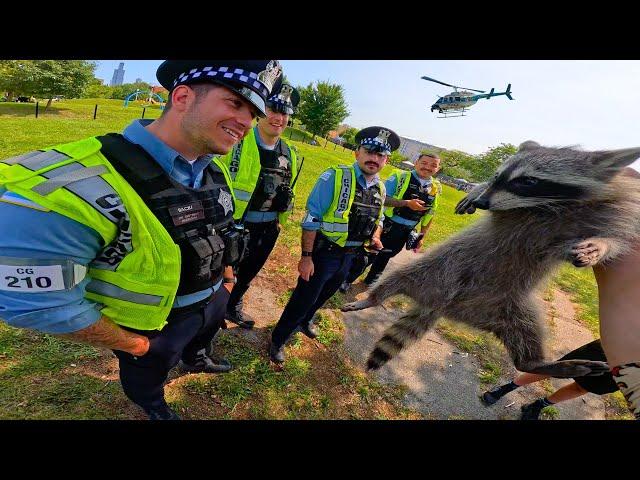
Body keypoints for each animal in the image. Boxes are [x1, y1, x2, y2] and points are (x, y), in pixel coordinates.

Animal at [342, 141, 640, 376]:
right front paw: (476, 190)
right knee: (398, 276)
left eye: (527, 180)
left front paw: (601, 245)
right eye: (497, 175)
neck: (548, 206)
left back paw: (534, 363)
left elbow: (617, 240)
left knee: (527, 332)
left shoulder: (606, 214)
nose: (483, 202)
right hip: (434, 270)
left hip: (509, 305)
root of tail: (444, 306)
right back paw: (375, 296)